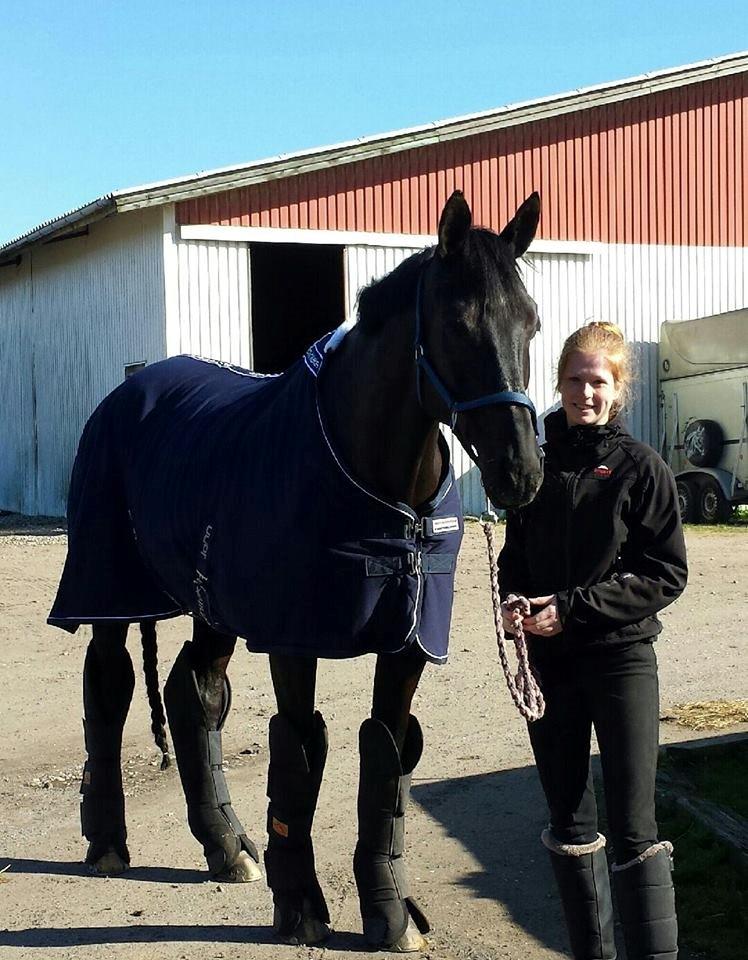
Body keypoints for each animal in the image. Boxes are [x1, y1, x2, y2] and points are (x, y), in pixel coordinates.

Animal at [48, 190, 543, 952]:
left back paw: (226, 848)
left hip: (211, 601)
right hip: (109, 586)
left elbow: (387, 754)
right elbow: (300, 751)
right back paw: (107, 842)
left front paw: (389, 913)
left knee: (194, 694)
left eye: (532, 321)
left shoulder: (408, 641)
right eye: (459, 326)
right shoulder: (293, 635)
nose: (521, 472)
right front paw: (303, 905)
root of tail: (129, 392)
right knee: (110, 684)